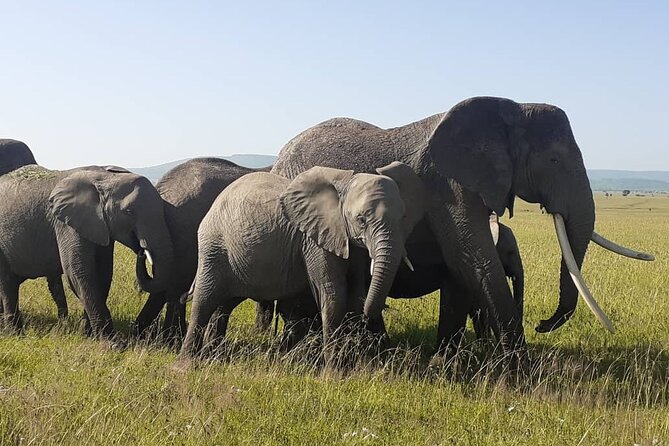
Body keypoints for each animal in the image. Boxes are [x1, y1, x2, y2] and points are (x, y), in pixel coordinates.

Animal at [0, 165, 174, 338]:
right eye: (129, 212)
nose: (142, 252)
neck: (105, 177)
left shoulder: (101, 225)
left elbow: (103, 273)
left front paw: (88, 334)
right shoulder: (66, 223)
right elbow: (79, 272)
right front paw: (109, 341)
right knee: (8, 283)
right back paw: (15, 333)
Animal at [176, 162, 426, 367]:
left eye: (403, 217)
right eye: (361, 220)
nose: (377, 313)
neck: (343, 187)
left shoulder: (350, 244)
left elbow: (355, 293)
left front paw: (353, 366)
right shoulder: (315, 240)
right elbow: (333, 294)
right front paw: (334, 373)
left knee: (224, 305)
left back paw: (214, 356)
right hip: (213, 246)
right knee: (205, 300)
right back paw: (186, 364)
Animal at [270, 96, 653, 355]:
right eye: (555, 160)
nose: (543, 324)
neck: (511, 109)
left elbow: (462, 267)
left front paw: (448, 361)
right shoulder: (448, 183)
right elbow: (473, 257)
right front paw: (521, 371)